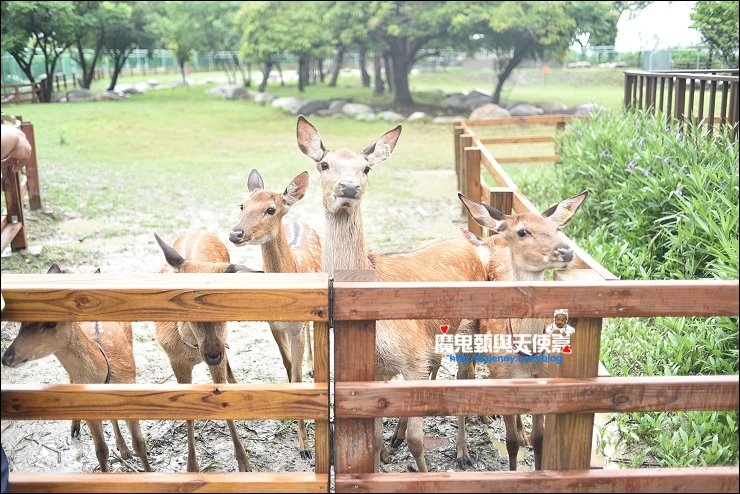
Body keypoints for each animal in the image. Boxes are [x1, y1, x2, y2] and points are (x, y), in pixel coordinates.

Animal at [1, 264, 152, 472]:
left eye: (51, 322)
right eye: (22, 322)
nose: (7, 357)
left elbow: (140, 444)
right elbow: (101, 451)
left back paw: (123, 449)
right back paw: (77, 428)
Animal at [227, 169, 322, 460]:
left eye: (271, 209)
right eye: (242, 205)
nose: (235, 233)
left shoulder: (296, 327)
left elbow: (298, 376)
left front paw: (304, 446)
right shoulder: (273, 325)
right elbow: (288, 365)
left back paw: (313, 367)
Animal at [294, 115, 486, 470]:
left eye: (366, 168)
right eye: (324, 164)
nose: (349, 187)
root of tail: (471, 244)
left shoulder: (411, 357)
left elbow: (417, 441)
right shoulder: (378, 368)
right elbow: (372, 428)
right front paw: (381, 454)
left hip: (470, 327)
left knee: (465, 375)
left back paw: (463, 453)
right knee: (437, 365)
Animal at [456, 189, 588, 470]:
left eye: (556, 228)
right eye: (523, 232)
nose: (566, 251)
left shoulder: (542, 378)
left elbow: (540, 440)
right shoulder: (503, 376)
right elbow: (510, 443)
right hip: (464, 331)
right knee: (463, 376)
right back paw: (462, 452)